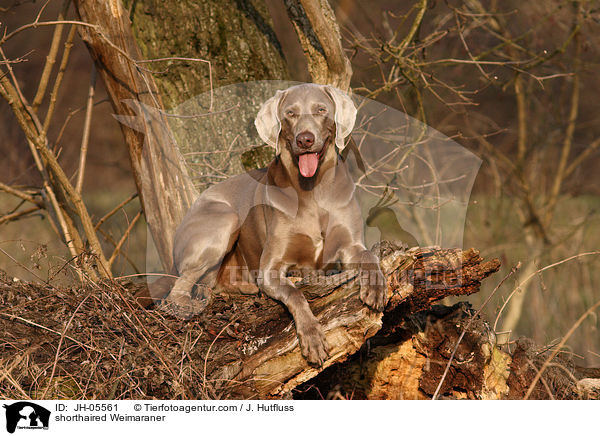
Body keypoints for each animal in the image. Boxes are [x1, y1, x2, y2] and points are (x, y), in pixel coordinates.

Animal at [166, 82, 386, 364]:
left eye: (321, 110)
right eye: (290, 113)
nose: (305, 139)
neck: (312, 191)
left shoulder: (349, 246)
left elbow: (369, 256)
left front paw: (376, 288)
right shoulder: (270, 268)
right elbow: (295, 293)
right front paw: (312, 337)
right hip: (226, 219)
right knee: (176, 290)